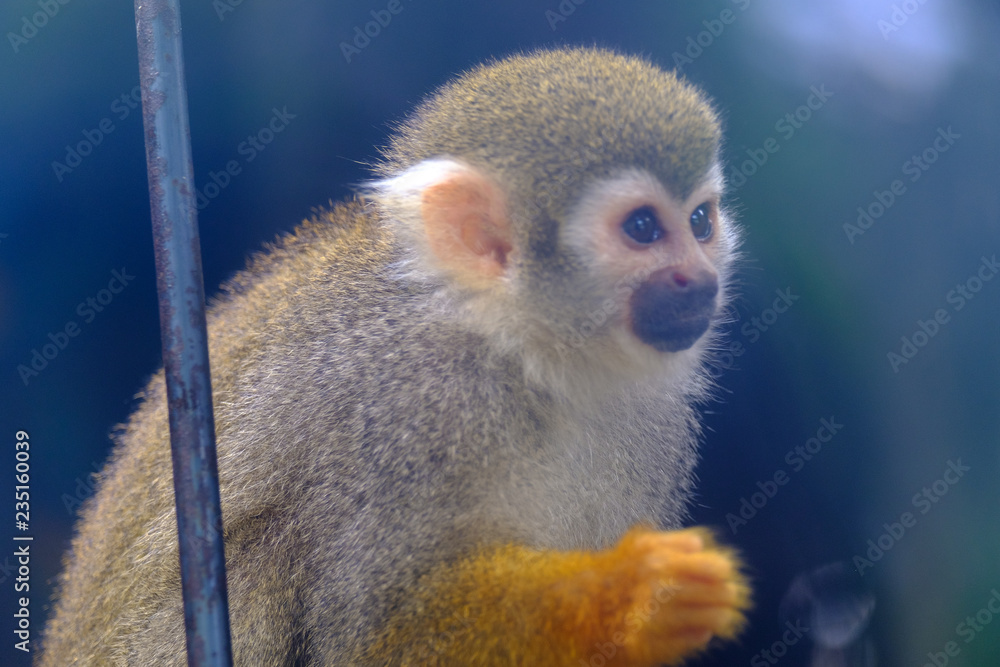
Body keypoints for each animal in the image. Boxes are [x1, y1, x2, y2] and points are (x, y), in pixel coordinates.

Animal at [40, 46, 748, 666]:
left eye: (701, 222)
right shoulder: (398, 416)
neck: (522, 359)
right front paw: (625, 597)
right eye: (643, 229)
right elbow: (364, 642)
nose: (699, 280)